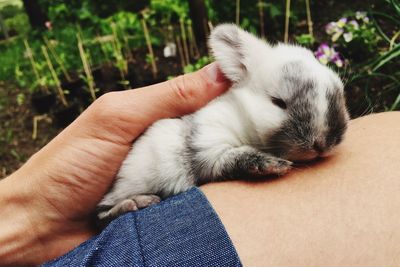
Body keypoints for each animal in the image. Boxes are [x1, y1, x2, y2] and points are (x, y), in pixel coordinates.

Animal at [96, 24, 346, 222]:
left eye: (339, 90)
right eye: (278, 102)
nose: (322, 144)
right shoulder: (210, 144)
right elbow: (236, 157)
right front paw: (273, 165)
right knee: (102, 213)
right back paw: (136, 203)